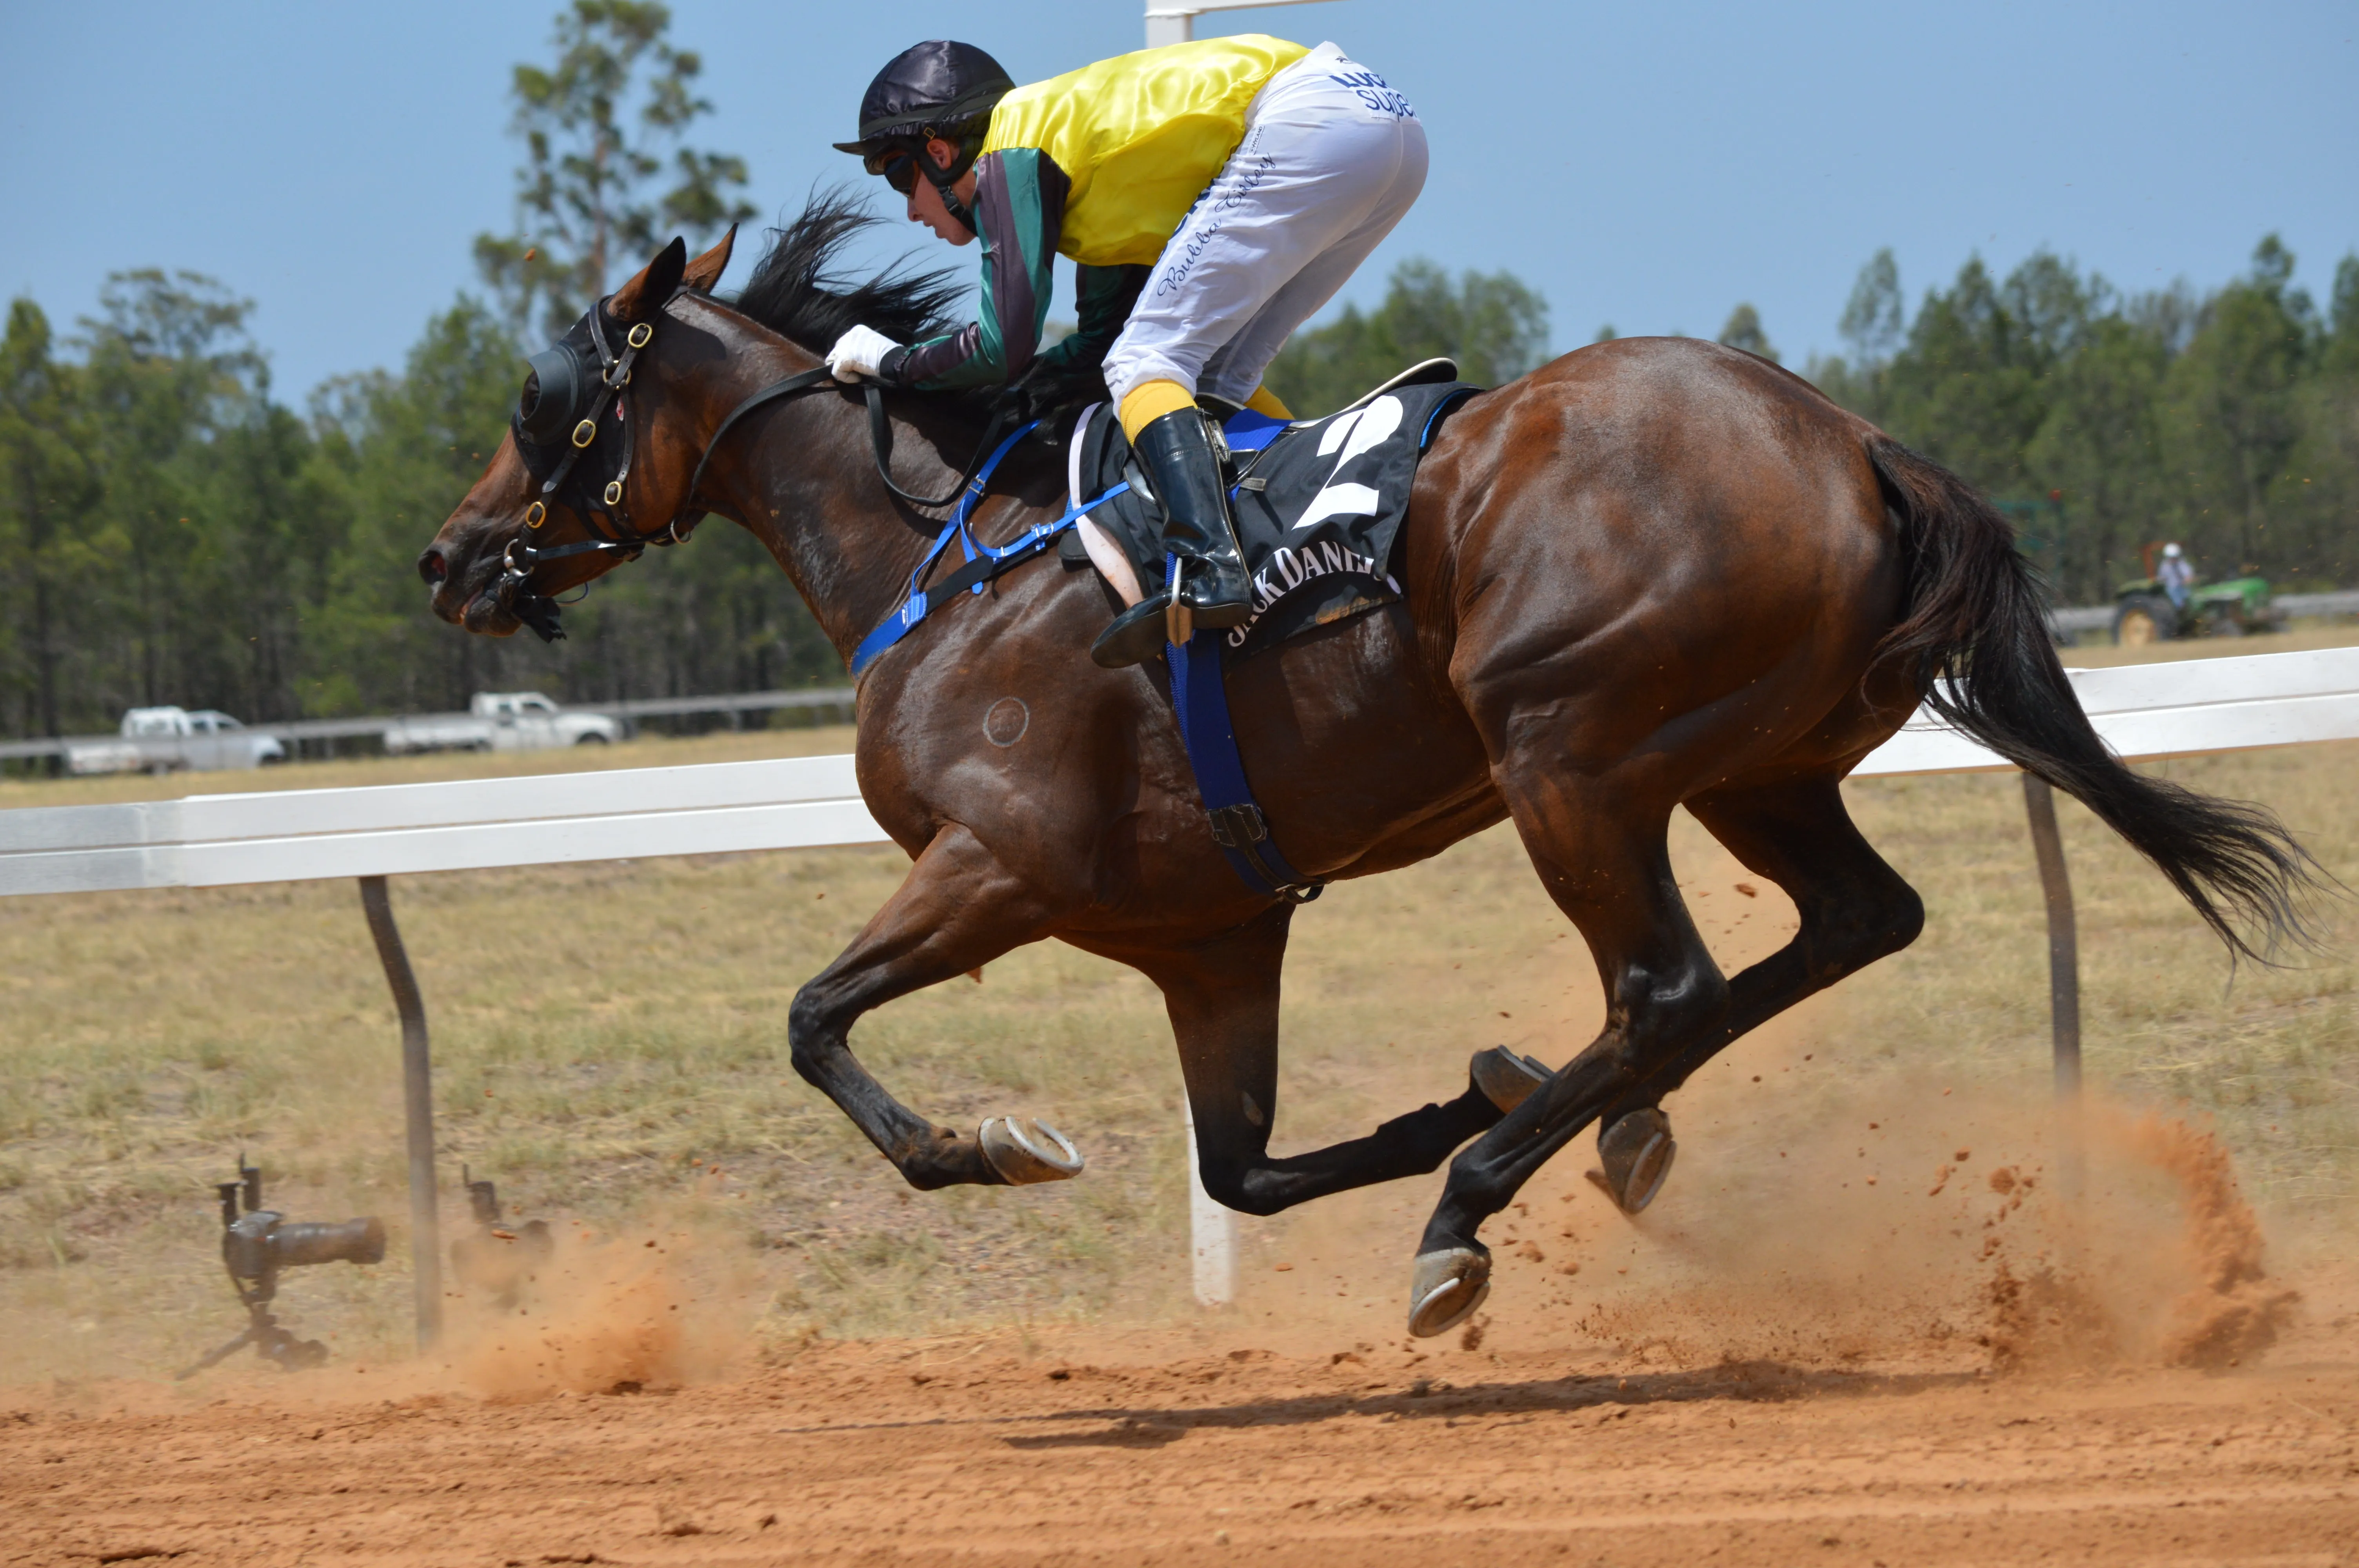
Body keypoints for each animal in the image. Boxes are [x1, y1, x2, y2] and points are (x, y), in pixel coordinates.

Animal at [415, 199, 2312, 1330]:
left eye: (541, 402)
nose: (450, 557)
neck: (945, 563)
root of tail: (1849, 439)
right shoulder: (1205, 933)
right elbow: (1238, 1162)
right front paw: (1460, 1093)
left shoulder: (998, 864)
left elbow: (814, 1019)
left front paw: (999, 1143)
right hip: (1747, 764)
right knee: (1843, 926)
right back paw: (1590, 1137)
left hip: (1563, 749)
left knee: (1667, 981)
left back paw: (1476, 1209)